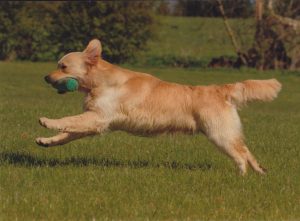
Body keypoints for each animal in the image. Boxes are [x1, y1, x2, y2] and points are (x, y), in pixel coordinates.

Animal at [35, 38, 282, 175]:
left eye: (63, 66)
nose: (45, 77)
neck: (100, 82)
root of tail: (219, 88)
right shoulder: (95, 123)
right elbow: (67, 134)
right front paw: (46, 141)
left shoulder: (98, 117)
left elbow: (68, 121)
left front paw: (47, 121)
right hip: (227, 134)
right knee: (246, 151)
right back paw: (260, 172)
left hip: (219, 134)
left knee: (240, 156)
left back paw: (241, 177)